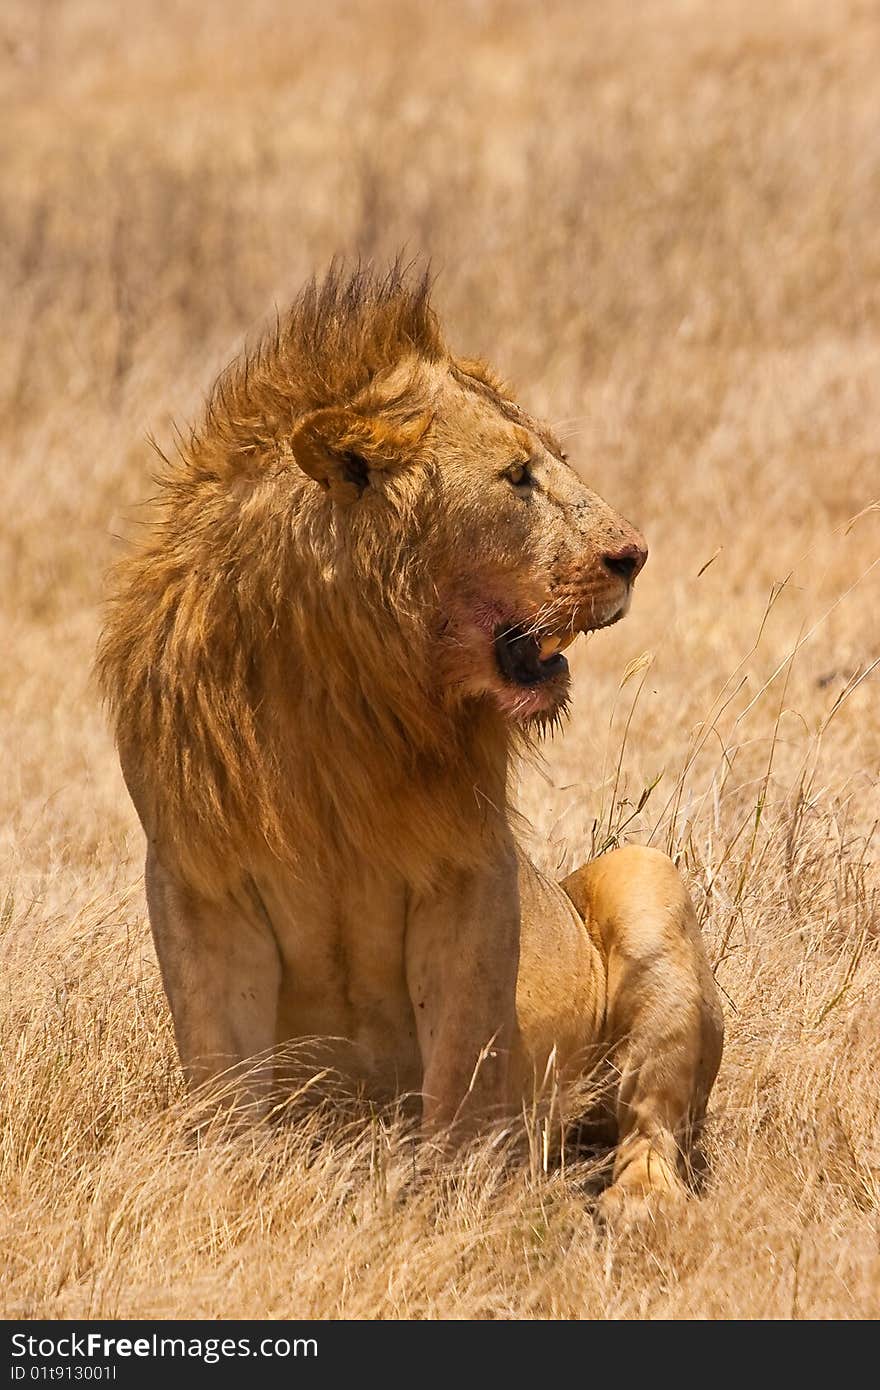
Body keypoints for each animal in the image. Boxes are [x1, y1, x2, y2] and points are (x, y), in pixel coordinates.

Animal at [99, 265, 722, 1212]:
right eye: (518, 478)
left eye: (555, 464)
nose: (634, 555)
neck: (347, 685)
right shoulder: (198, 878)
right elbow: (222, 1071)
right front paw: (225, 1194)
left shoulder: (467, 872)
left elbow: (462, 1066)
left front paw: (455, 1205)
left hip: (647, 878)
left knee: (649, 1125)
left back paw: (639, 1206)